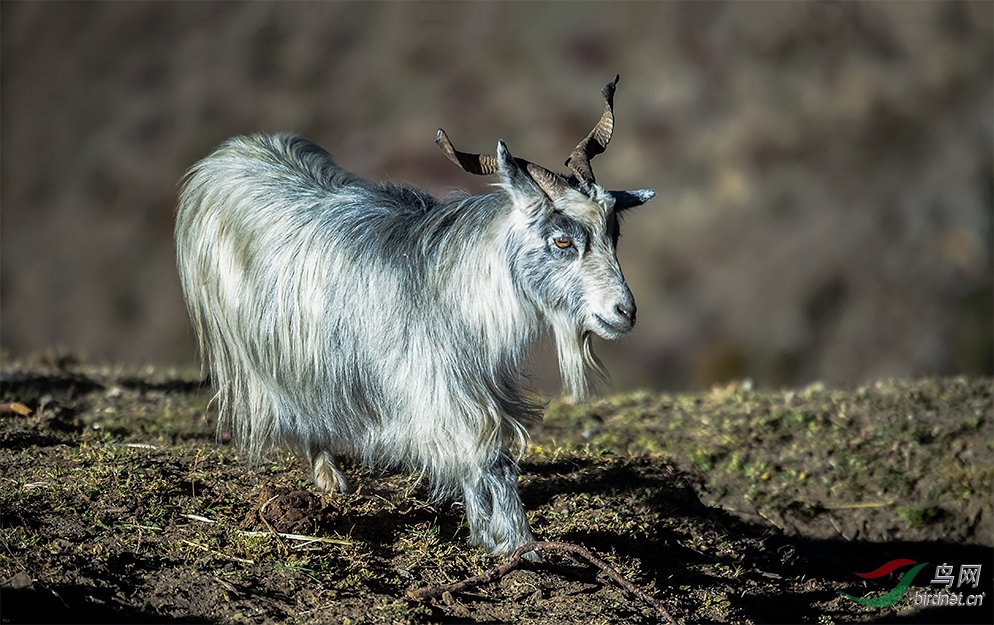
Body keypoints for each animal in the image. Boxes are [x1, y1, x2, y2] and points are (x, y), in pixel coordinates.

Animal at [172, 74, 652, 556]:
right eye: (562, 241)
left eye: (613, 233)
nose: (624, 311)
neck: (454, 288)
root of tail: (230, 152)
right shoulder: (440, 391)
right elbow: (491, 458)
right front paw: (519, 545)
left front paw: (487, 536)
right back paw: (330, 479)